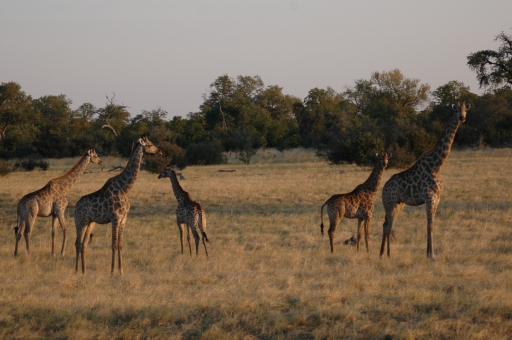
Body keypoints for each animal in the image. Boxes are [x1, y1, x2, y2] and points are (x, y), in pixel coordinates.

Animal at [73, 135, 160, 274]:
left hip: (90, 222)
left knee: (84, 244)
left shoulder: (124, 218)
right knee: (78, 243)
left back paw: (84, 271)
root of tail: (75, 207)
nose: (159, 151)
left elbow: (120, 244)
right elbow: (113, 245)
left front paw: (121, 270)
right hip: (80, 221)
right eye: (150, 144)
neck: (124, 189)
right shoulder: (115, 218)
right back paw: (76, 271)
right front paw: (113, 271)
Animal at [378, 99, 470, 258]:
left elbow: (431, 225)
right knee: (388, 225)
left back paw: (383, 253)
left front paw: (429, 253)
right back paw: (387, 254)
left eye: (465, 110)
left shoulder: (437, 198)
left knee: (387, 224)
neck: (437, 166)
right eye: (456, 110)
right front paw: (431, 255)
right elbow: (429, 225)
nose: (462, 117)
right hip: (389, 202)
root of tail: (384, 188)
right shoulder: (429, 197)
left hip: (398, 204)